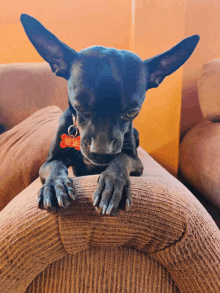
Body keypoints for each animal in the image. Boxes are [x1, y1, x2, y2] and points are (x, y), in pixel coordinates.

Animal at [20, 13, 199, 214]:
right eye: (80, 106)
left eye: (132, 112)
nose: (100, 154)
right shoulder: (49, 162)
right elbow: (55, 166)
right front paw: (54, 185)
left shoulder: (136, 161)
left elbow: (122, 157)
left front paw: (113, 185)